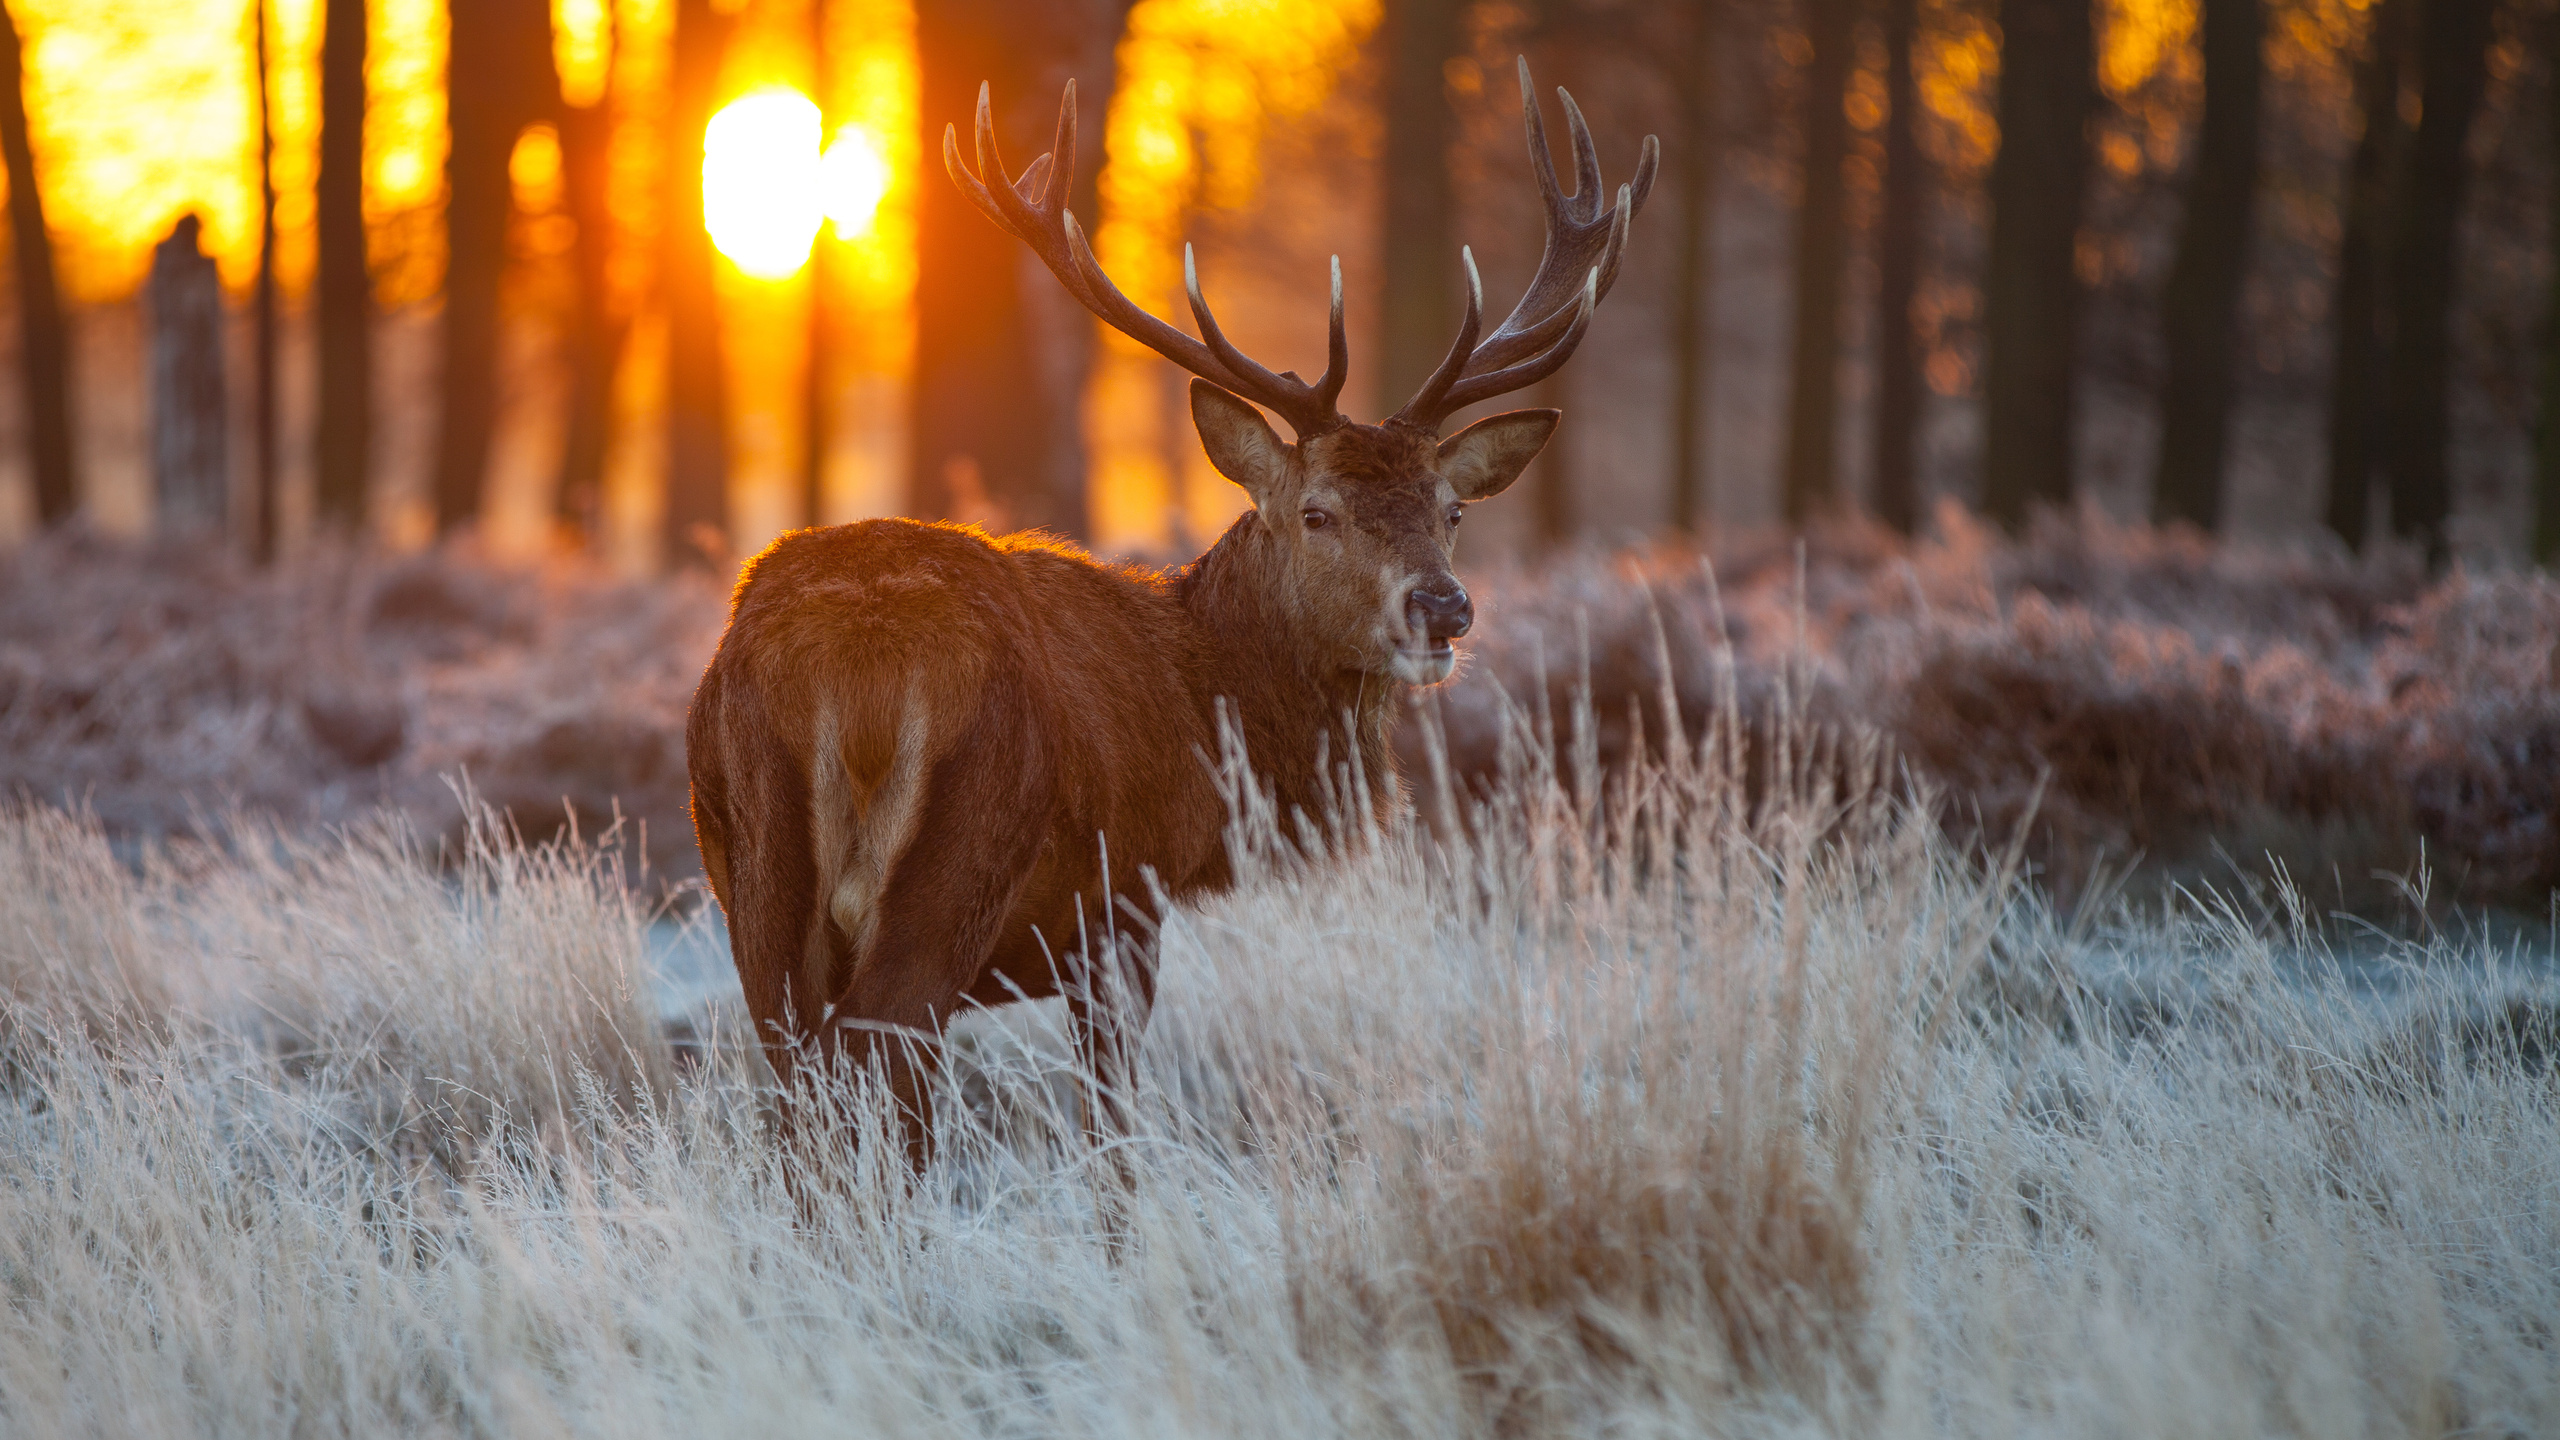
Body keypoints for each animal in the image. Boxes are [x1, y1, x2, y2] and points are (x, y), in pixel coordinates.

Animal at [686, 58, 1658, 1168]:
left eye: (1451, 510)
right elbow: (1111, 1128)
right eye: (1317, 511)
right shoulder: (1126, 904)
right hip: (960, 855)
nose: (1442, 607)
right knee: (878, 1067)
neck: (1207, 710)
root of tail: (851, 665)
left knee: (797, 1091)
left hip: (753, 872)